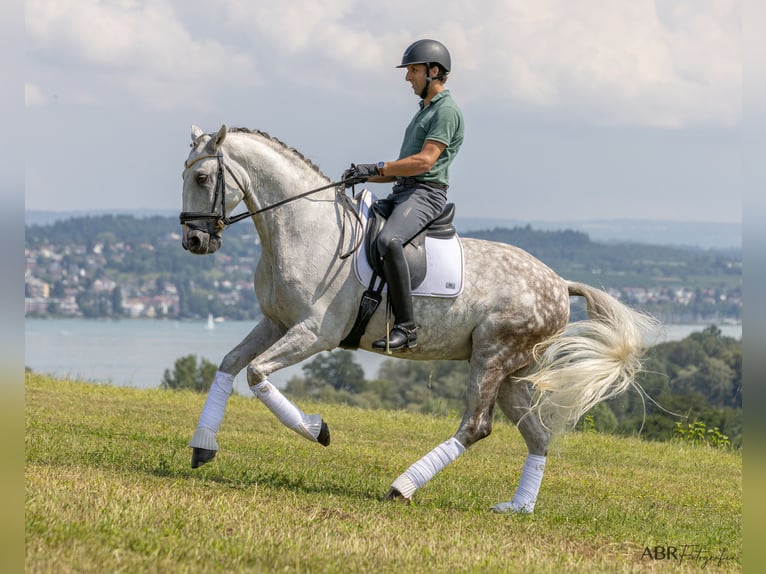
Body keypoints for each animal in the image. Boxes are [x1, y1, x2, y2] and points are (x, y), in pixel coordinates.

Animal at [180, 125, 660, 512]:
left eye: (202, 178)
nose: (194, 241)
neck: (306, 230)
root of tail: (560, 284)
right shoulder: (276, 323)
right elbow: (230, 364)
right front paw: (203, 448)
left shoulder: (314, 333)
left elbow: (257, 374)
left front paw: (317, 429)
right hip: (513, 372)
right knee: (537, 436)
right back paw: (518, 508)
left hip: (492, 357)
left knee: (476, 426)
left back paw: (402, 487)